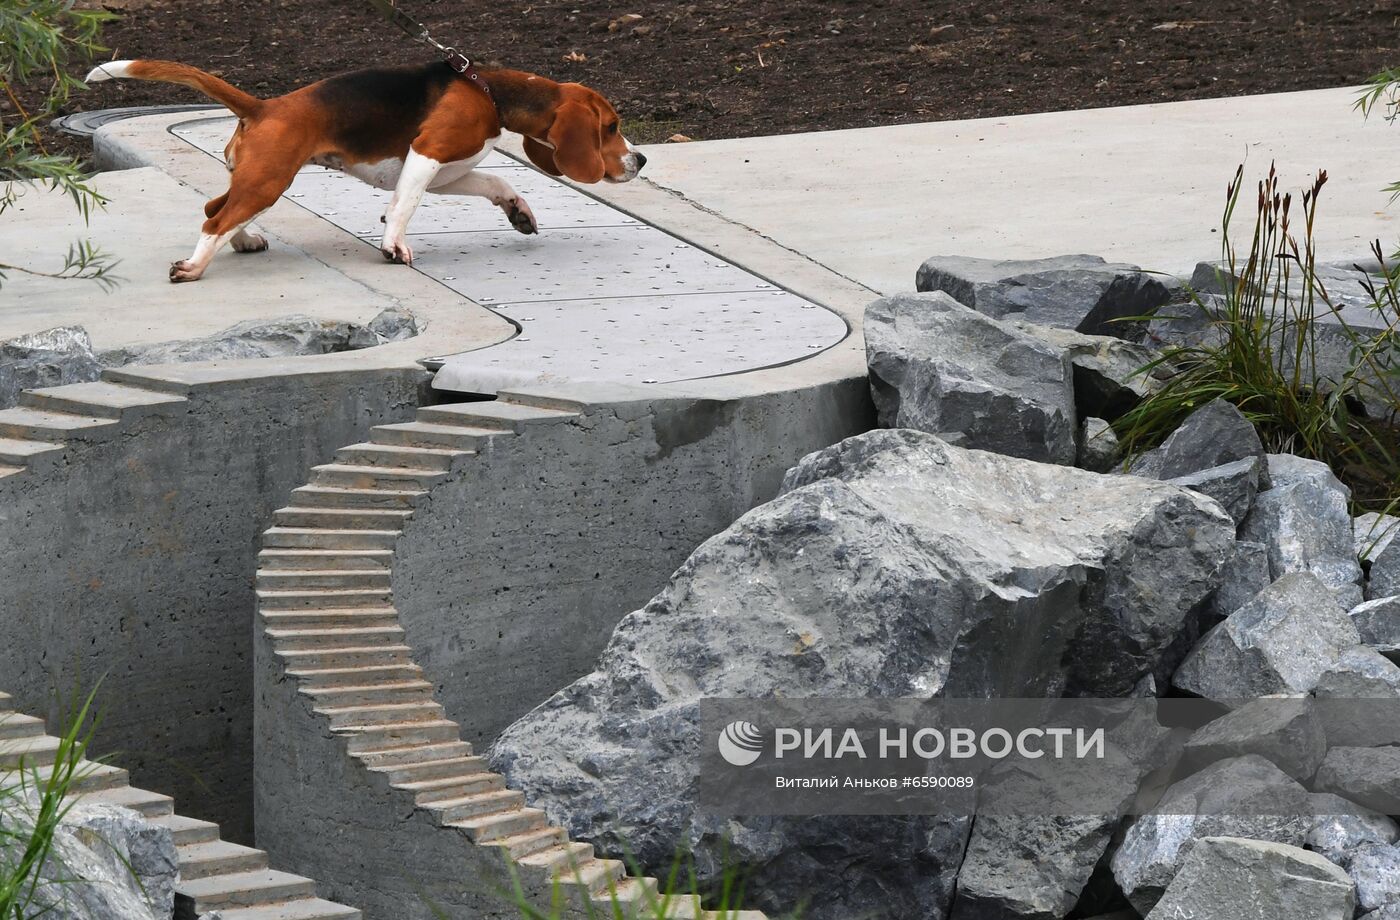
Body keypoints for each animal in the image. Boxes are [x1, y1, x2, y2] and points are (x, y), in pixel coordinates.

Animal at [90, 58, 646, 280]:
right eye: (612, 126)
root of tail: (264, 107)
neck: (489, 91)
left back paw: (244, 240)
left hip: (257, 179)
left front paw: (519, 212)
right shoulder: (428, 153)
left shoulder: (450, 172)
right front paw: (393, 247)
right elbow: (403, 206)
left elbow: (497, 180)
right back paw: (194, 266)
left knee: (215, 208)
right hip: (270, 180)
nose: (641, 160)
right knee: (214, 220)